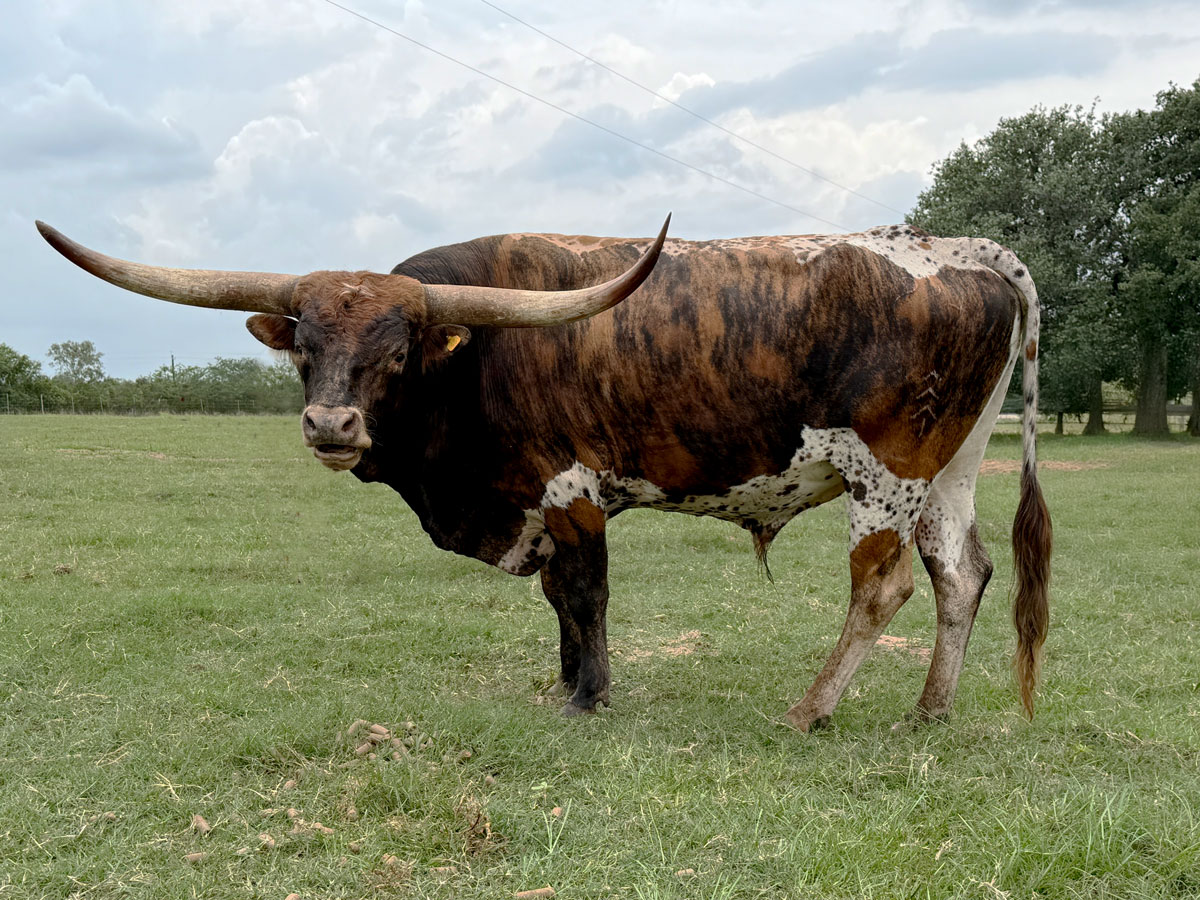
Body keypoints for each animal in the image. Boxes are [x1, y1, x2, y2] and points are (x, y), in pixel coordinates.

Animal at [36, 217, 1051, 729]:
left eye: (397, 351)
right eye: (305, 346)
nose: (330, 424)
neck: (478, 358)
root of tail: (962, 250)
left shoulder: (570, 490)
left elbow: (585, 591)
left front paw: (590, 697)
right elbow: (559, 598)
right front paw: (564, 684)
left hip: (888, 472)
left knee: (882, 588)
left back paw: (810, 710)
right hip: (950, 470)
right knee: (962, 574)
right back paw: (929, 711)